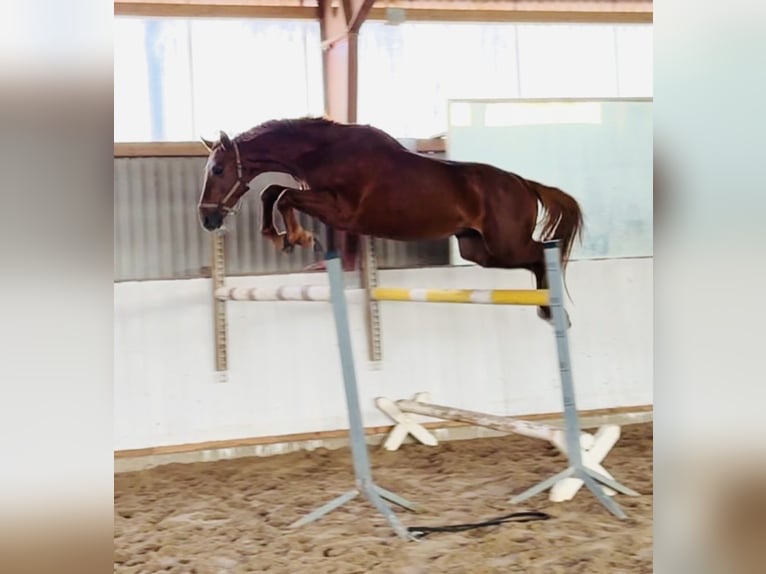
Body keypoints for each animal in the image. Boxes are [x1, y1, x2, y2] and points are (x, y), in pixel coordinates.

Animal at [198, 117, 584, 324]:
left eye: (218, 170)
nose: (207, 218)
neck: (325, 152)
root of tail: (524, 184)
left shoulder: (341, 210)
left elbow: (282, 195)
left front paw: (298, 238)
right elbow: (272, 192)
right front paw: (282, 238)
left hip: (505, 244)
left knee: (543, 253)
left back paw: (554, 311)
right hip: (480, 251)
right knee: (535, 258)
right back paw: (548, 310)